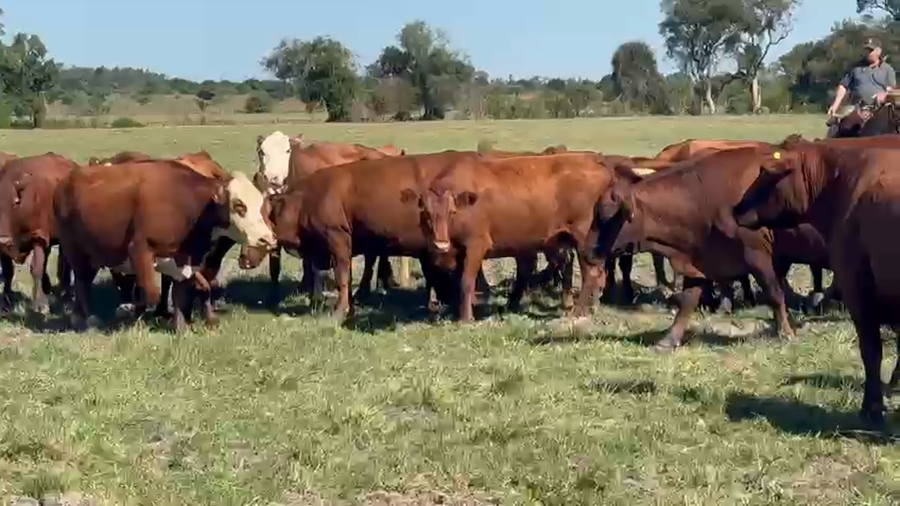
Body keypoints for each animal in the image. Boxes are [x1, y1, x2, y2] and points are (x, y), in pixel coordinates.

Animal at [0, 153, 78, 313]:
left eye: (14, 203)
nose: (3, 240)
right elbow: (8, 272)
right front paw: (5, 301)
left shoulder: (39, 238)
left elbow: (36, 269)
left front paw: (41, 304)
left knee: (65, 264)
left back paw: (66, 292)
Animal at [54, 161, 277, 332]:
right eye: (239, 205)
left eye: (263, 206)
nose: (267, 239)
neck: (187, 204)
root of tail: (67, 180)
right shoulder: (140, 250)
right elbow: (150, 294)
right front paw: (129, 312)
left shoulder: (183, 260)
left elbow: (181, 293)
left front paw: (181, 328)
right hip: (76, 252)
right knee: (81, 283)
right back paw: (89, 317)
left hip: (94, 254)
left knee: (83, 282)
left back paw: (79, 315)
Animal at [590, 146, 835, 351]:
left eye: (605, 213)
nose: (590, 248)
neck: (702, 198)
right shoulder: (701, 261)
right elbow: (687, 301)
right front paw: (669, 339)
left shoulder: (757, 255)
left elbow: (774, 294)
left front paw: (786, 333)